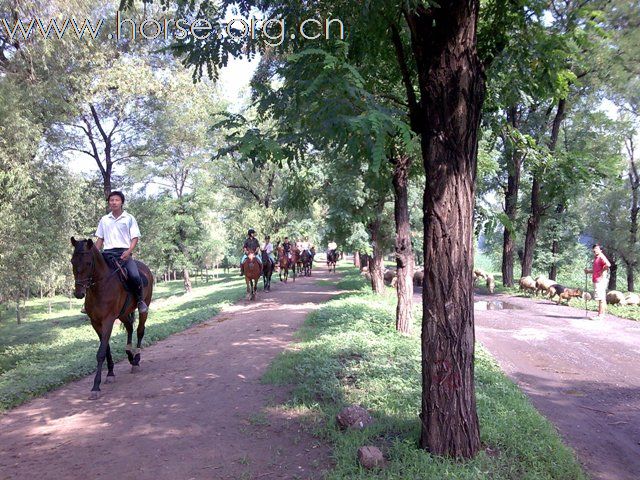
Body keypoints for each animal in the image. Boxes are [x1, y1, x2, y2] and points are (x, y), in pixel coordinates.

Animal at [70, 237, 154, 402]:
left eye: (88, 263)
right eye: (72, 261)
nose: (79, 293)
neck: (101, 287)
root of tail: (145, 269)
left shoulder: (108, 320)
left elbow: (101, 352)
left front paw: (96, 386)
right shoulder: (96, 322)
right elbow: (106, 347)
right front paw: (110, 373)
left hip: (144, 307)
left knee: (140, 330)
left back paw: (136, 360)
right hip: (122, 313)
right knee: (129, 327)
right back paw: (129, 354)